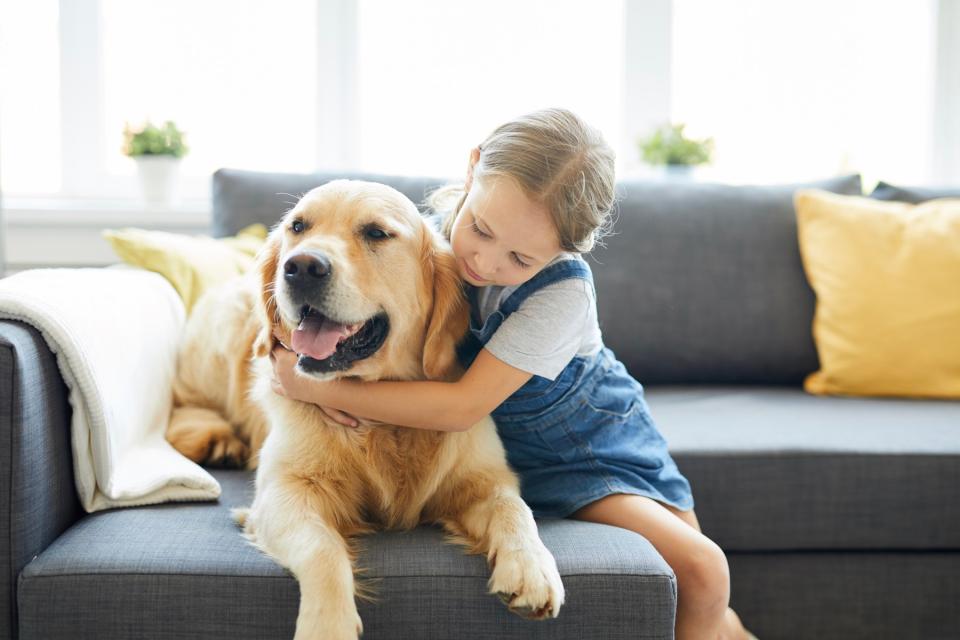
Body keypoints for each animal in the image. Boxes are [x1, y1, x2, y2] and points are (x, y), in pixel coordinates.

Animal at [167, 181, 564, 640]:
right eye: (297, 227)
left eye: (376, 233)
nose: (300, 267)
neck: (383, 415)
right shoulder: (284, 490)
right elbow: (323, 548)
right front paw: (327, 626)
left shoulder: (482, 477)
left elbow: (514, 508)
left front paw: (532, 569)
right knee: (183, 401)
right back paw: (215, 438)